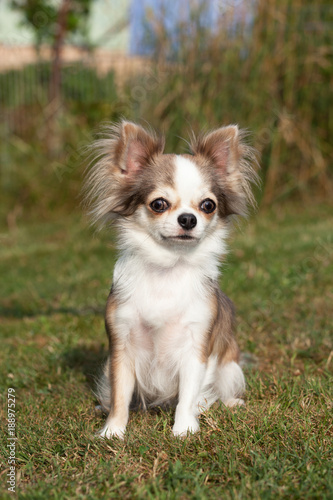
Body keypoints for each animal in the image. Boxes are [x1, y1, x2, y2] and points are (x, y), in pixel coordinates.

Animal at [82, 120, 256, 438]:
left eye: (208, 205)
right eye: (159, 204)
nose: (188, 219)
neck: (168, 269)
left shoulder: (196, 347)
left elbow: (187, 394)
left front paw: (184, 429)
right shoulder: (121, 347)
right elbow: (120, 395)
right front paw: (112, 431)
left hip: (229, 367)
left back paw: (226, 403)